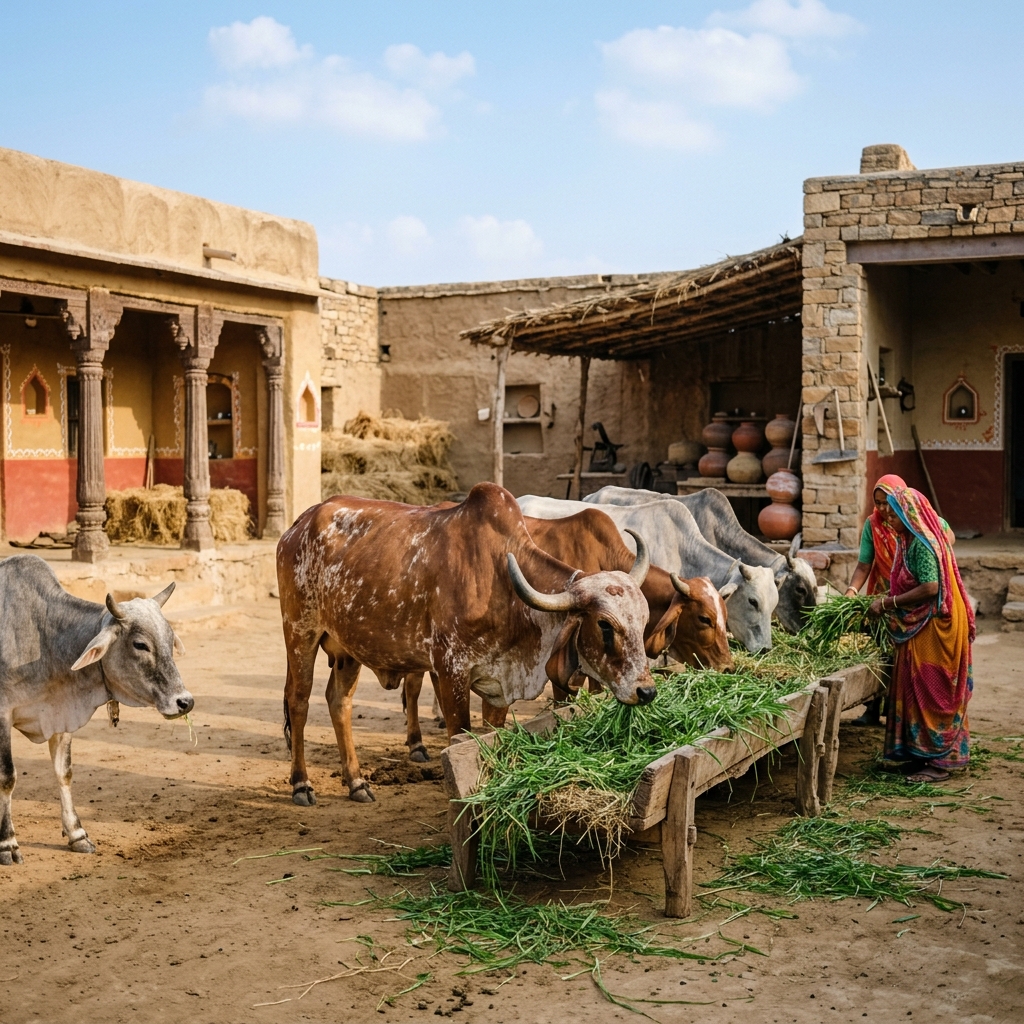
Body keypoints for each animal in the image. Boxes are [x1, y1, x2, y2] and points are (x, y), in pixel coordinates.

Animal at [0, 555, 192, 865]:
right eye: (140, 644)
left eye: (170, 640)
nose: (185, 702)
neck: (43, 639)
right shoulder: (3, 714)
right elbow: (7, 777)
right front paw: (7, 843)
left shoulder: (61, 718)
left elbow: (64, 772)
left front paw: (77, 835)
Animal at [276, 483, 656, 805]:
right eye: (605, 625)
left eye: (643, 620)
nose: (647, 691)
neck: (500, 582)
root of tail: (300, 523)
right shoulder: (451, 673)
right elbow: (460, 738)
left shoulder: (498, 684)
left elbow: (490, 738)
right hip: (300, 632)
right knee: (299, 700)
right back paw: (301, 784)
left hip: (348, 648)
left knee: (339, 701)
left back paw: (356, 783)